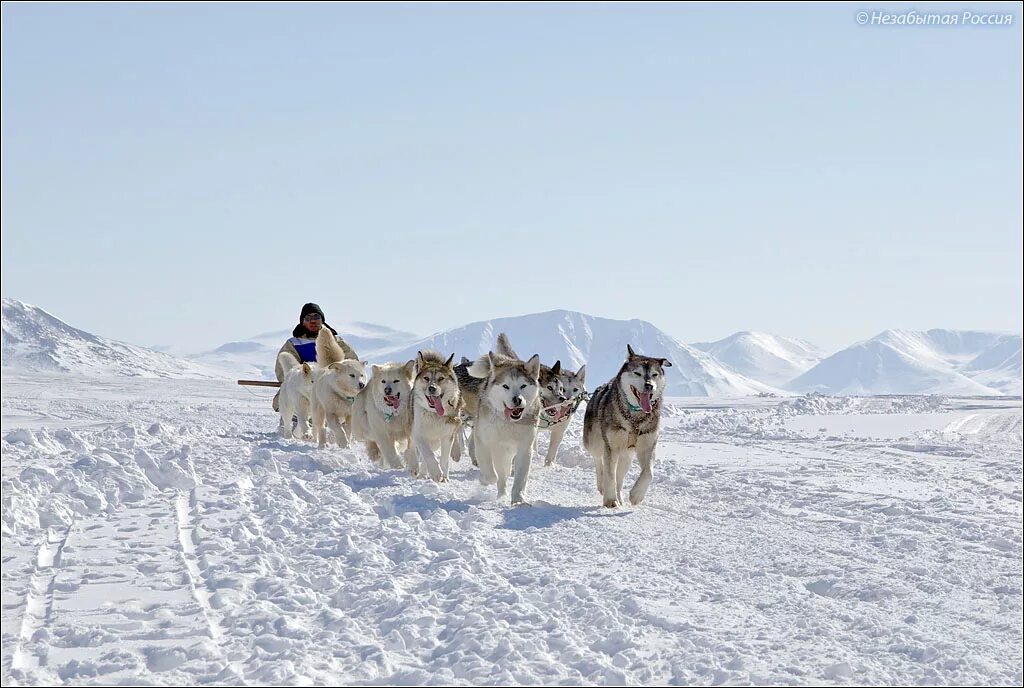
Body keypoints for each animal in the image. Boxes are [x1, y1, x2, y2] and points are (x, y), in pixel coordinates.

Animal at [585, 341, 671, 505]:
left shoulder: (648, 446)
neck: (635, 418)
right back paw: (602, 485)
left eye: (654, 374)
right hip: (595, 443)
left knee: (619, 478)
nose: (649, 385)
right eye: (637, 373)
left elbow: (649, 473)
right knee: (599, 461)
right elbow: (609, 474)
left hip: (626, 456)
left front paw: (637, 495)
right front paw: (610, 500)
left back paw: (620, 498)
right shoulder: (611, 447)